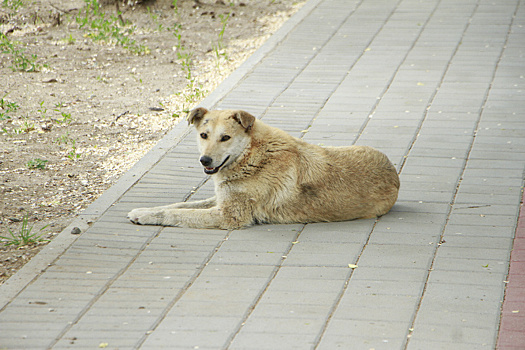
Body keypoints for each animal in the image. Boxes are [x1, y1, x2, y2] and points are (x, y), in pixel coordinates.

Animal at [127, 108, 398, 230]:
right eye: (203, 135)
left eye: (225, 138)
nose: (205, 160)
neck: (252, 156)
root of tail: (395, 174)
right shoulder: (221, 199)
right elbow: (178, 205)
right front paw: (144, 210)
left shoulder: (229, 216)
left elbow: (176, 214)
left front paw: (146, 216)